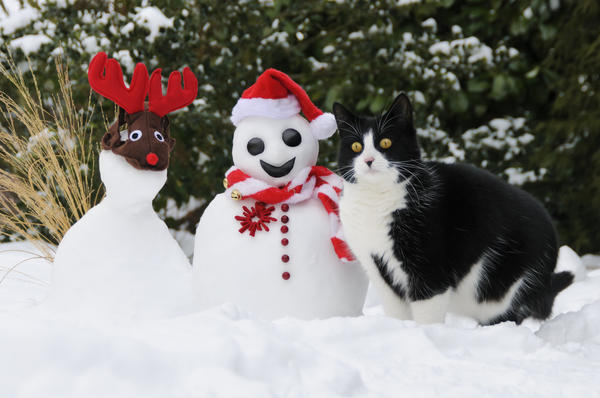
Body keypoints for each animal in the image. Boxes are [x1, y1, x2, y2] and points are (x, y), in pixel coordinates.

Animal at [336, 95, 576, 324]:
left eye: (385, 142)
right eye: (356, 147)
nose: (368, 160)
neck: (376, 202)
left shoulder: (429, 270)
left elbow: (427, 315)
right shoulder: (378, 269)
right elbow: (397, 313)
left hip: (507, 288)